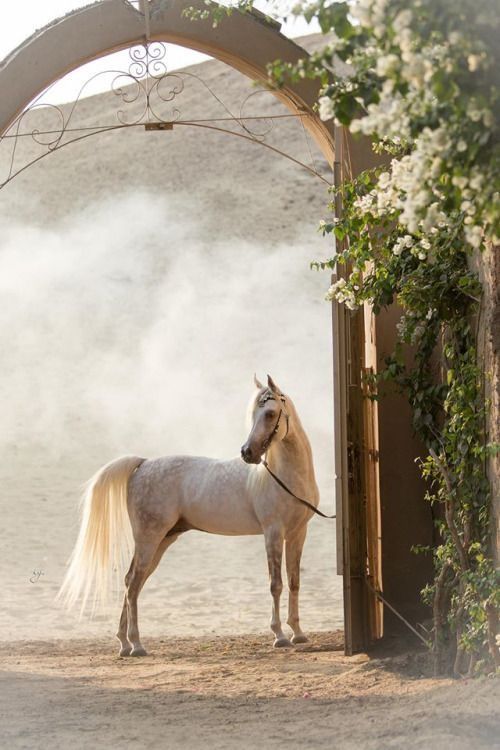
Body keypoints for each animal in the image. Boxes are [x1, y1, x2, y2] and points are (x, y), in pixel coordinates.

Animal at [58, 374, 320, 656]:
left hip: (162, 540)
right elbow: (276, 584)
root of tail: (143, 464)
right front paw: (279, 635)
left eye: (270, 413)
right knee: (133, 583)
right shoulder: (273, 532)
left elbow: (294, 581)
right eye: (253, 414)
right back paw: (137, 644)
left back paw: (124, 643)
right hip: (149, 539)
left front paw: (298, 633)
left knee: (133, 583)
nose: (247, 453)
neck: (284, 477)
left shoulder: (297, 534)